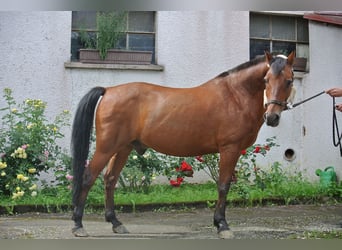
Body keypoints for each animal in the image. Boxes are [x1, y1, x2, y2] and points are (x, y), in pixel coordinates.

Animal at [71, 50, 296, 238]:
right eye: (266, 80)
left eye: (289, 81)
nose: (272, 117)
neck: (235, 96)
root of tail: (108, 90)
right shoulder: (229, 149)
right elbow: (223, 185)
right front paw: (222, 225)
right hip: (106, 148)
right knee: (88, 177)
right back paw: (78, 225)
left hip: (123, 148)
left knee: (110, 179)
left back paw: (116, 223)